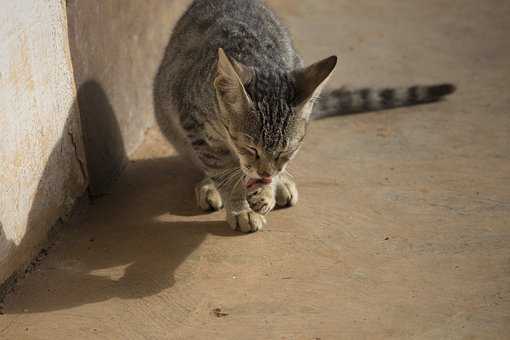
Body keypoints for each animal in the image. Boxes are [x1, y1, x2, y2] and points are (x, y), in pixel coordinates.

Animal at [152, 0, 454, 232]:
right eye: (250, 147)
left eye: (286, 151)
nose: (265, 172)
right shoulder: (196, 126)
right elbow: (222, 170)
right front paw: (239, 206)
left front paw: (266, 189)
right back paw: (211, 185)